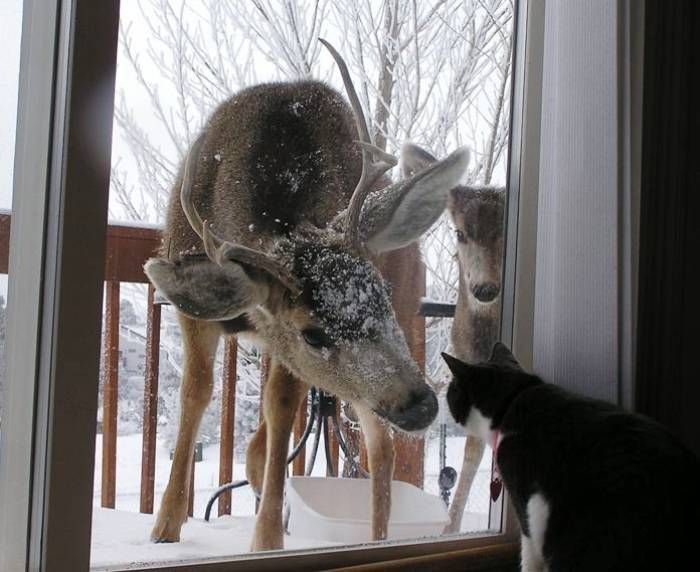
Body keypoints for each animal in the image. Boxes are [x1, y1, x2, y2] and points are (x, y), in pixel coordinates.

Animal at [142, 39, 470, 548]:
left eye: (380, 292)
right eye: (313, 333)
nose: (421, 404)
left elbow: (279, 405)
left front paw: (266, 539)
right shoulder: (200, 314)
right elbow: (196, 392)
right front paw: (165, 524)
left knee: (379, 445)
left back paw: (374, 538)